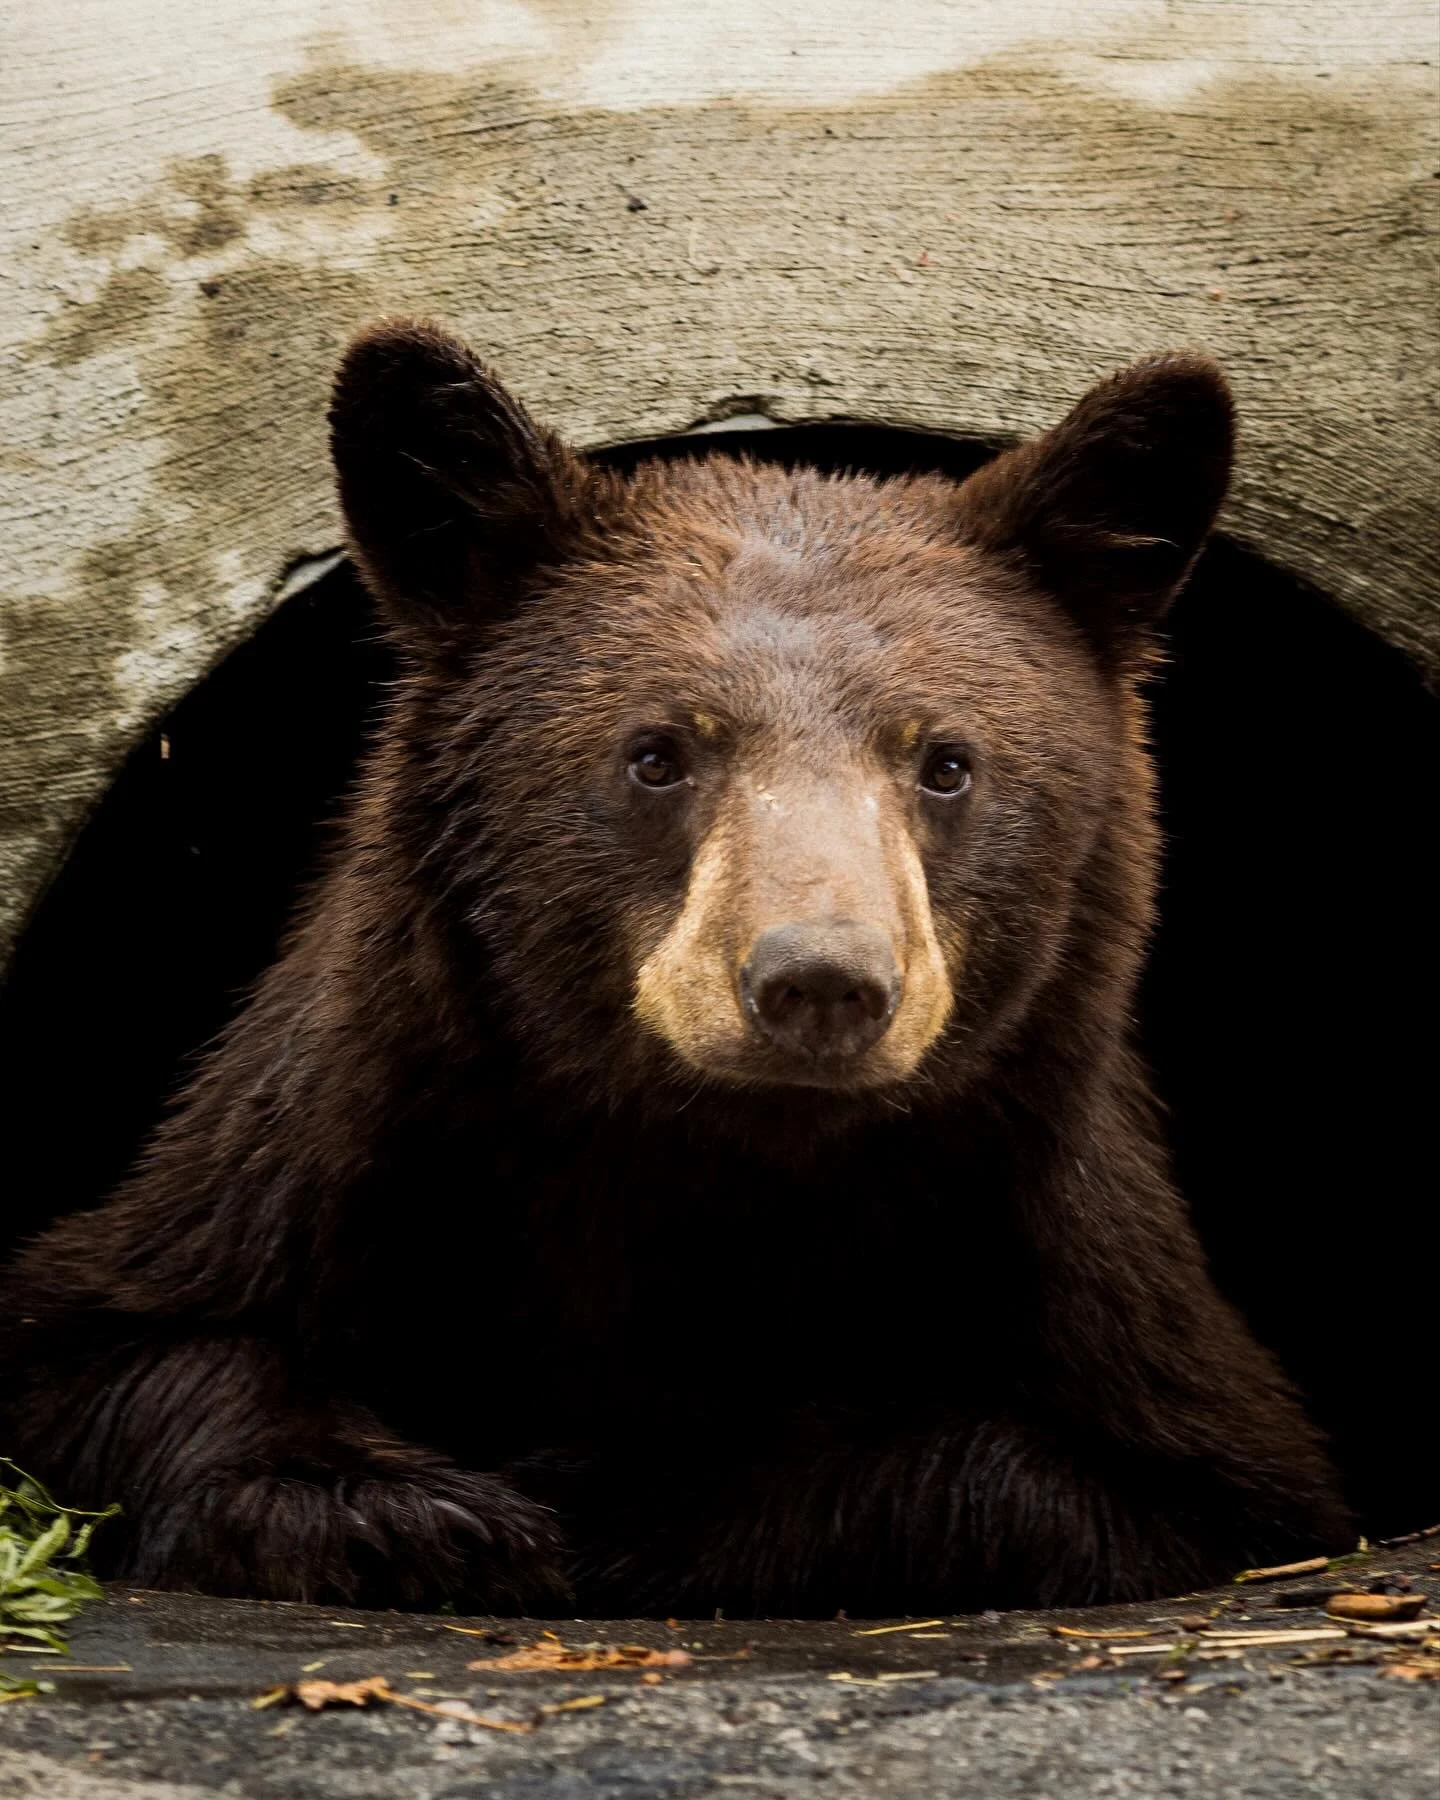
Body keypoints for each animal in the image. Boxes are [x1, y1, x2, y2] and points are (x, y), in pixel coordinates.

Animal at [0, 320, 1351, 1615]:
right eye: (656, 753)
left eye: (947, 763)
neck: (718, 1160)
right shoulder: (342, 1139)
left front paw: (618, 1502)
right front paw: (409, 1518)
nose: (819, 983)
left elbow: (1113, 1485)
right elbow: (119, 1346)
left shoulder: (1075, 1258)